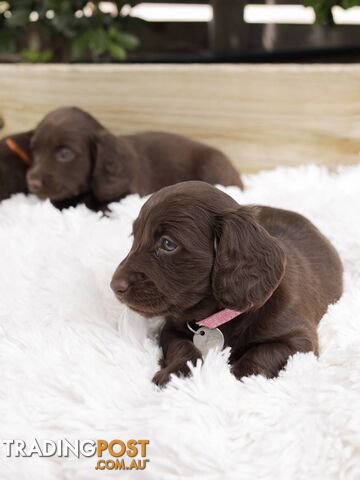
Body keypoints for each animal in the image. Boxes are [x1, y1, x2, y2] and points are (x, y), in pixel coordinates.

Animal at [111, 180, 342, 386]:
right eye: (134, 236)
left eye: (168, 244)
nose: (114, 286)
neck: (219, 316)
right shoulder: (171, 328)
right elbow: (183, 347)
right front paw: (176, 373)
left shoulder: (299, 341)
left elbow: (264, 351)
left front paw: (234, 377)